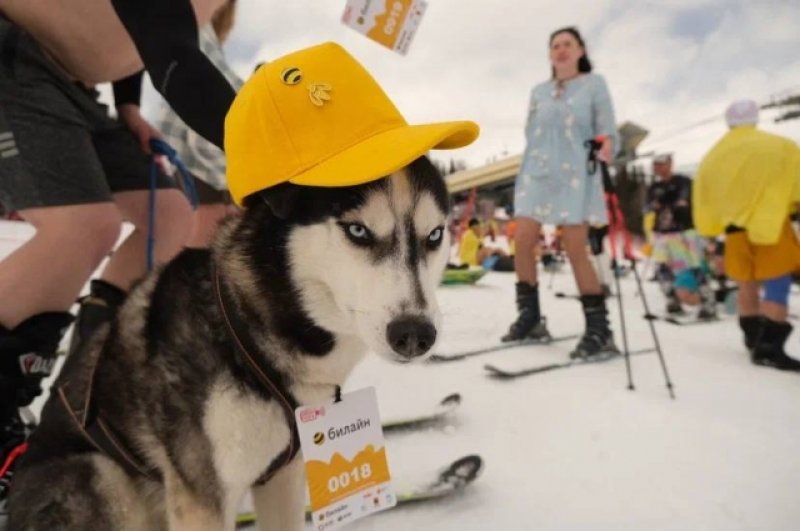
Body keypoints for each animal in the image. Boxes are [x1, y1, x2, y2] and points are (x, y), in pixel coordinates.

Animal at [7, 157, 450, 531]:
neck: (244, 330)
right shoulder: (202, 499)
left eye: (435, 235)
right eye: (357, 230)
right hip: (105, 477)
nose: (415, 334)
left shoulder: (284, 477)